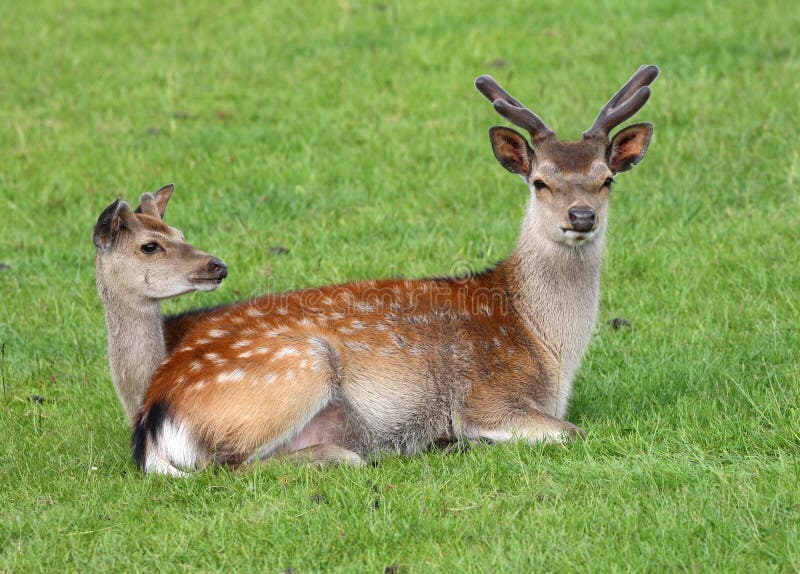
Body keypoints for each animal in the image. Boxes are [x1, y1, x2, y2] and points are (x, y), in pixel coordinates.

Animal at [133, 66, 659, 475]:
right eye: (540, 181)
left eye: (606, 180)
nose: (581, 216)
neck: (547, 347)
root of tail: (152, 421)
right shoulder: (486, 396)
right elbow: (573, 431)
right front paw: (465, 438)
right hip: (299, 366)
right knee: (233, 464)